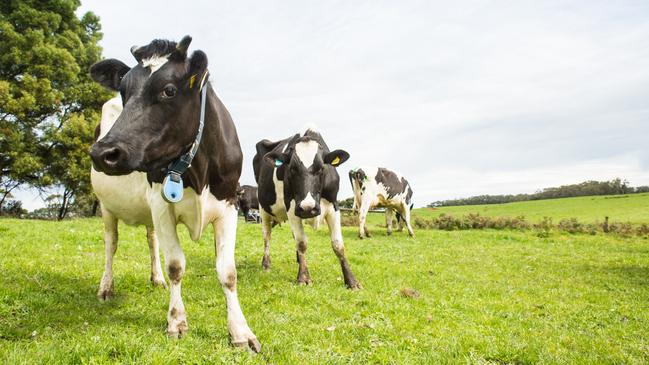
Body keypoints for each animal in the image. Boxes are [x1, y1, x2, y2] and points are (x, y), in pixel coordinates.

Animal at [89, 36, 260, 350]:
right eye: (124, 91)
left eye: (168, 90)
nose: (102, 153)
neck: (198, 168)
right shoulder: (161, 205)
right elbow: (176, 265)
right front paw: (177, 321)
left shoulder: (230, 205)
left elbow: (227, 272)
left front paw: (241, 331)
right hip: (107, 207)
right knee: (111, 244)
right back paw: (106, 287)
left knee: (151, 240)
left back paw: (156, 280)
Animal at [252, 129, 360, 290]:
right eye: (292, 169)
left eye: (321, 168)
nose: (308, 208)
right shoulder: (292, 207)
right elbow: (302, 242)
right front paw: (303, 277)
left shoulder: (334, 206)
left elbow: (338, 245)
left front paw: (351, 281)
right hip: (263, 208)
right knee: (267, 236)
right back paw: (266, 264)